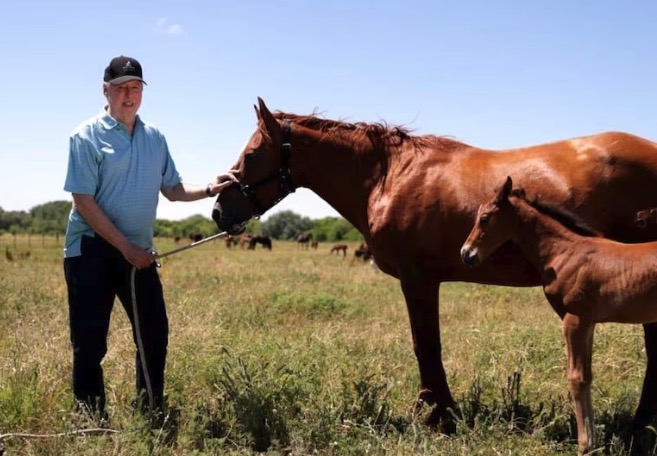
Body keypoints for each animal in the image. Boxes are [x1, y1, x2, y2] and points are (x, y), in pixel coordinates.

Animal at [458, 176, 657, 454]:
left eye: (485, 218)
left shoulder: (574, 320)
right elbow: (587, 375)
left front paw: (584, 445)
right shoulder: (588, 323)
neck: (564, 252)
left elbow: (576, 378)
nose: (466, 254)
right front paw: (593, 443)